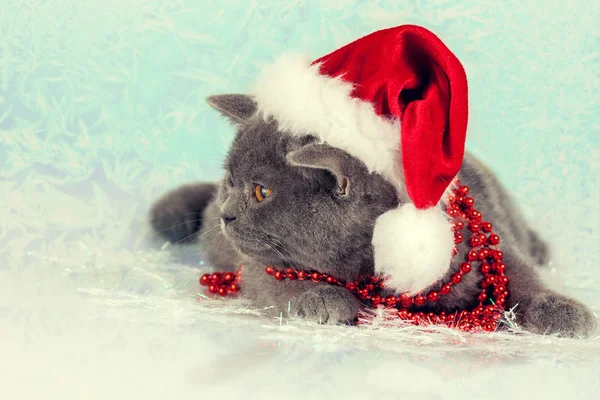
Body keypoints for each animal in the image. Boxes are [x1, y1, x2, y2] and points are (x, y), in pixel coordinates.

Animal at [149, 94, 596, 338]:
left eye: (261, 192)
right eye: (231, 181)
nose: (227, 215)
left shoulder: (483, 236)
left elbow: (521, 273)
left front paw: (561, 310)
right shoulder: (256, 266)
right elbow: (276, 282)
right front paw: (324, 298)